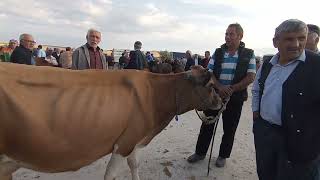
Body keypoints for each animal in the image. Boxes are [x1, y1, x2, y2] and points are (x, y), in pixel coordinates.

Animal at [0, 62, 221, 179]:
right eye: (211, 85)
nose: (223, 101)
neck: (156, 93)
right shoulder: (124, 144)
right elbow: (111, 174)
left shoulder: (134, 141)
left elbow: (134, 165)